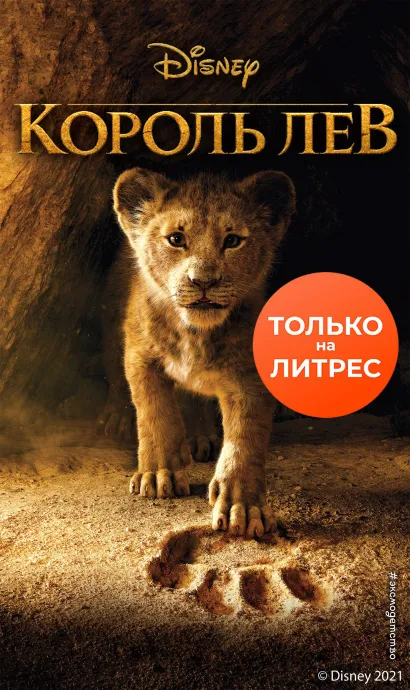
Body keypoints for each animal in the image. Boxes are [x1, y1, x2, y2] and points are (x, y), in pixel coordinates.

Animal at [101, 167, 295, 538]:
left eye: (232, 241)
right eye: (176, 239)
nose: (203, 281)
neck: (195, 333)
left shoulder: (249, 376)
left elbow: (245, 439)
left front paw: (242, 507)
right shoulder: (141, 356)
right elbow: (154, 413)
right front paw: (158, 474)